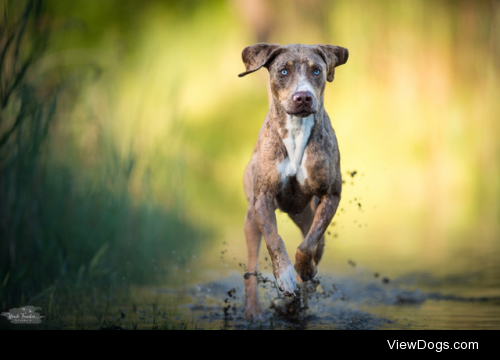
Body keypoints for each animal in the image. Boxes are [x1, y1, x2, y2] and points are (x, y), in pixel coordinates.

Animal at [238, 42, 348, 320]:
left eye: (317, 70)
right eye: (284, 71)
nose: (303, 97)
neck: (297, 130)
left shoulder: (331, 195)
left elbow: (308, 246)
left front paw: (303, 271)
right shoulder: (263, 198)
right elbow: (274, 239)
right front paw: (285, 276)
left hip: (308, 217)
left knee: (314, 246)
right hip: (250, 220)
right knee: (251, 271)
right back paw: (254, 311)